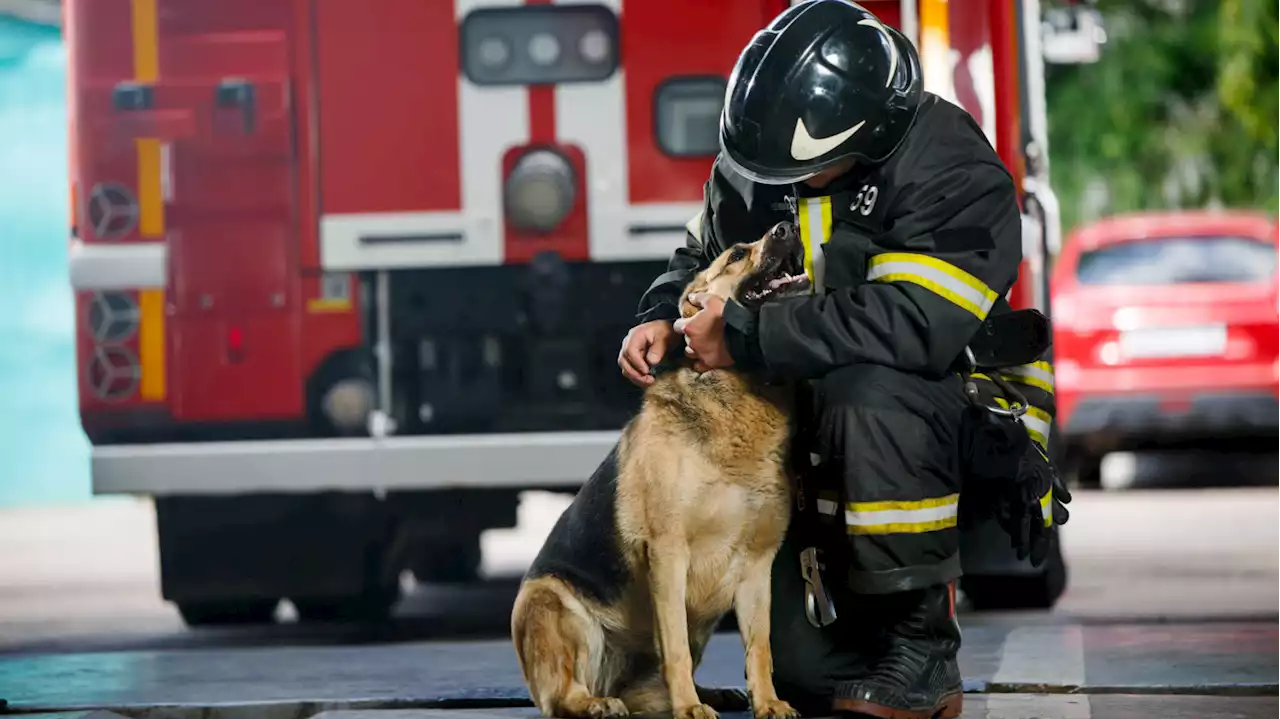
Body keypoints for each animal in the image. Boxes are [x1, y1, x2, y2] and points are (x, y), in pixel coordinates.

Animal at [509, 220, 808, 716]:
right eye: (736, 254)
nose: (787, 225)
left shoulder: (755, 566)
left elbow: (759, 646)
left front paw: (768, 702)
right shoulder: (668, 554)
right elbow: (675, 649)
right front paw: (689, 708)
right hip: (550, 603)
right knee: (561, 695)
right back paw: (597, 703)